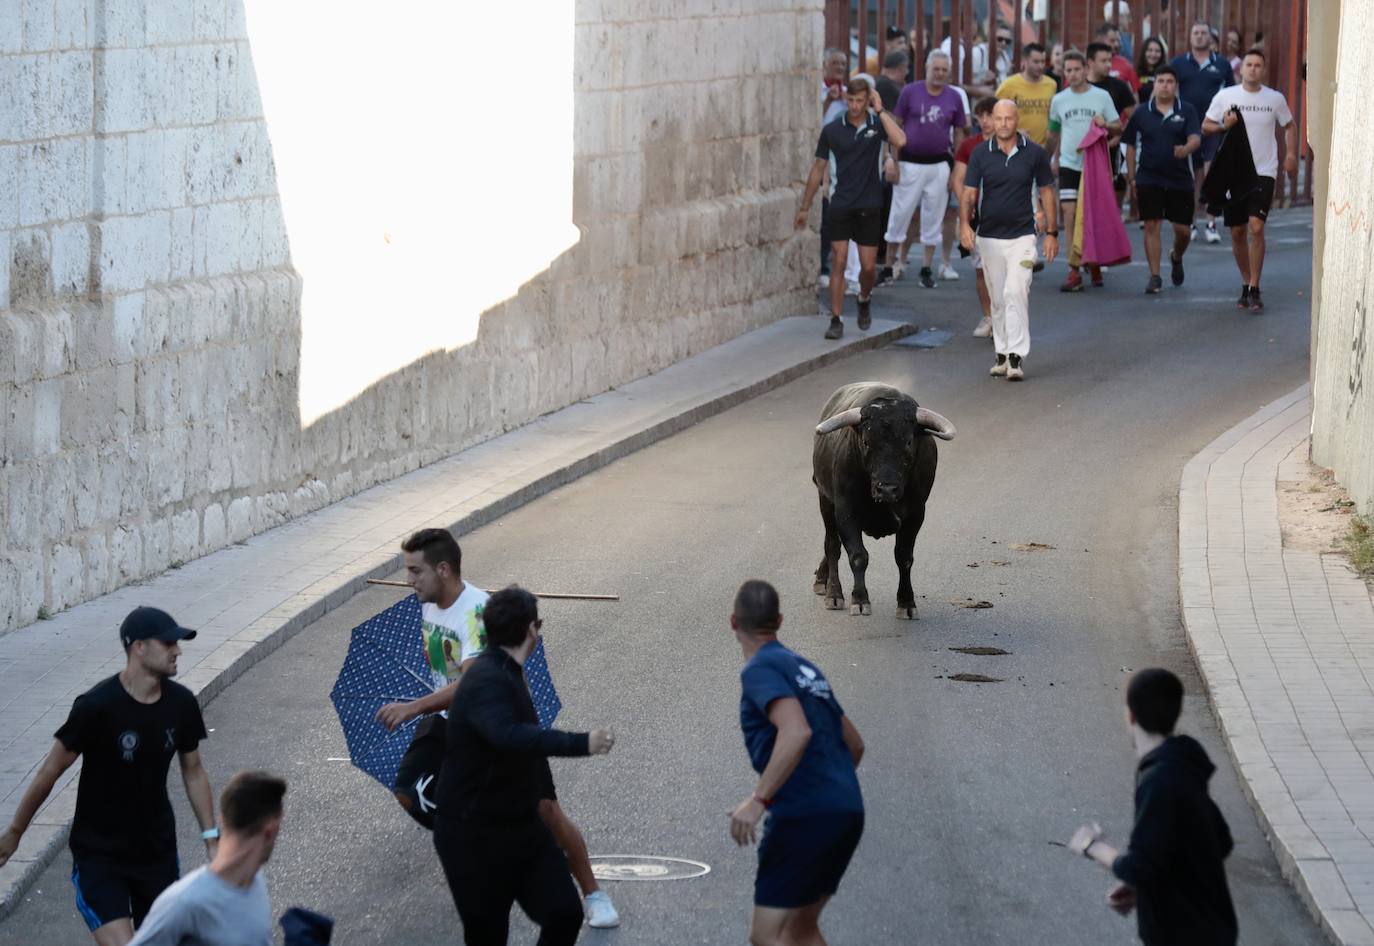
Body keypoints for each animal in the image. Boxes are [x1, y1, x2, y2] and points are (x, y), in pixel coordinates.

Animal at [802, 378, 956, 615]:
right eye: (866, 442)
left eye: (908, 442)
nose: (887, 489)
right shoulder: (846, 511)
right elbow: (858, 556)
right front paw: (859, 599)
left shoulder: (916, 514)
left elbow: (904, 557)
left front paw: (907, 603)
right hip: (825, 501)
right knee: (832, 546)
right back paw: (833, 594)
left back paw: (821, 579)